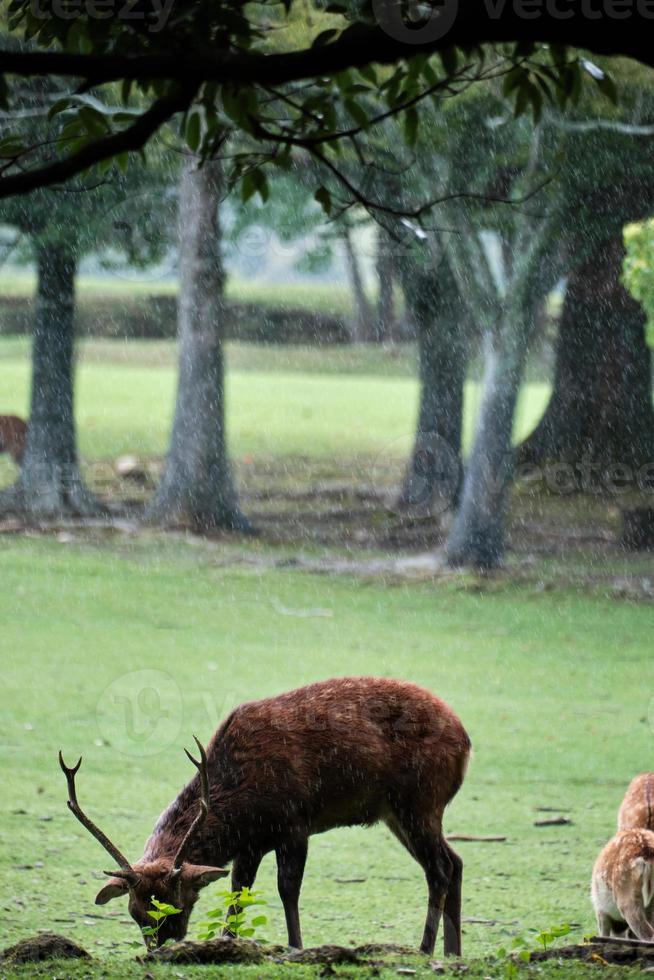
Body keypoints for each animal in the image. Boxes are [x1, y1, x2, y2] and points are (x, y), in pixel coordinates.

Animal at [59, 676, 472, 952]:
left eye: (175, 906)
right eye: (134, 912)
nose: (158, 950)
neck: (242, 804)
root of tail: (466, 740)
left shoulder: (295, 824)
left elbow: (287, 888)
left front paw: (295, 946)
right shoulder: (252, 844)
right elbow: (238, 892)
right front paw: (227, 941)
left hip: (420, 800)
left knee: (439, 868)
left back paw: (425, 949)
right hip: (398, 813)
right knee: (455, 860)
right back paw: (453, 953)